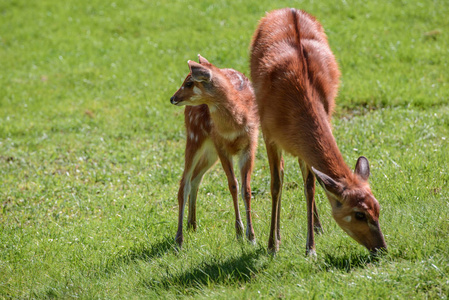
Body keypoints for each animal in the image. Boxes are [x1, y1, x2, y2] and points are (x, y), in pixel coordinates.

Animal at [170, 55, 258, 247]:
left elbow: (246, 189)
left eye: (189, 82)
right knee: (184, 183)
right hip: (195, 136)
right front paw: (239, 232)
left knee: (195, 178)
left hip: (210, 152)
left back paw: (192, 224)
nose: (172, 98)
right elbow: (233, 185)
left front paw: (251, 236)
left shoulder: (250, 144)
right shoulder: (221, 145)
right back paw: (179, 238)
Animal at [250, 8, 386, 254]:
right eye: (359, 214)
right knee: (281, 174)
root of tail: (288, 9)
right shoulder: (268, 133)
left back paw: (317, 226)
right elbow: (276, 184)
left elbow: (310, 186)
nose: (382, 248)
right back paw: (278, 234)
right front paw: (272, 245)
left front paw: (310, 246)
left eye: (378, 207)